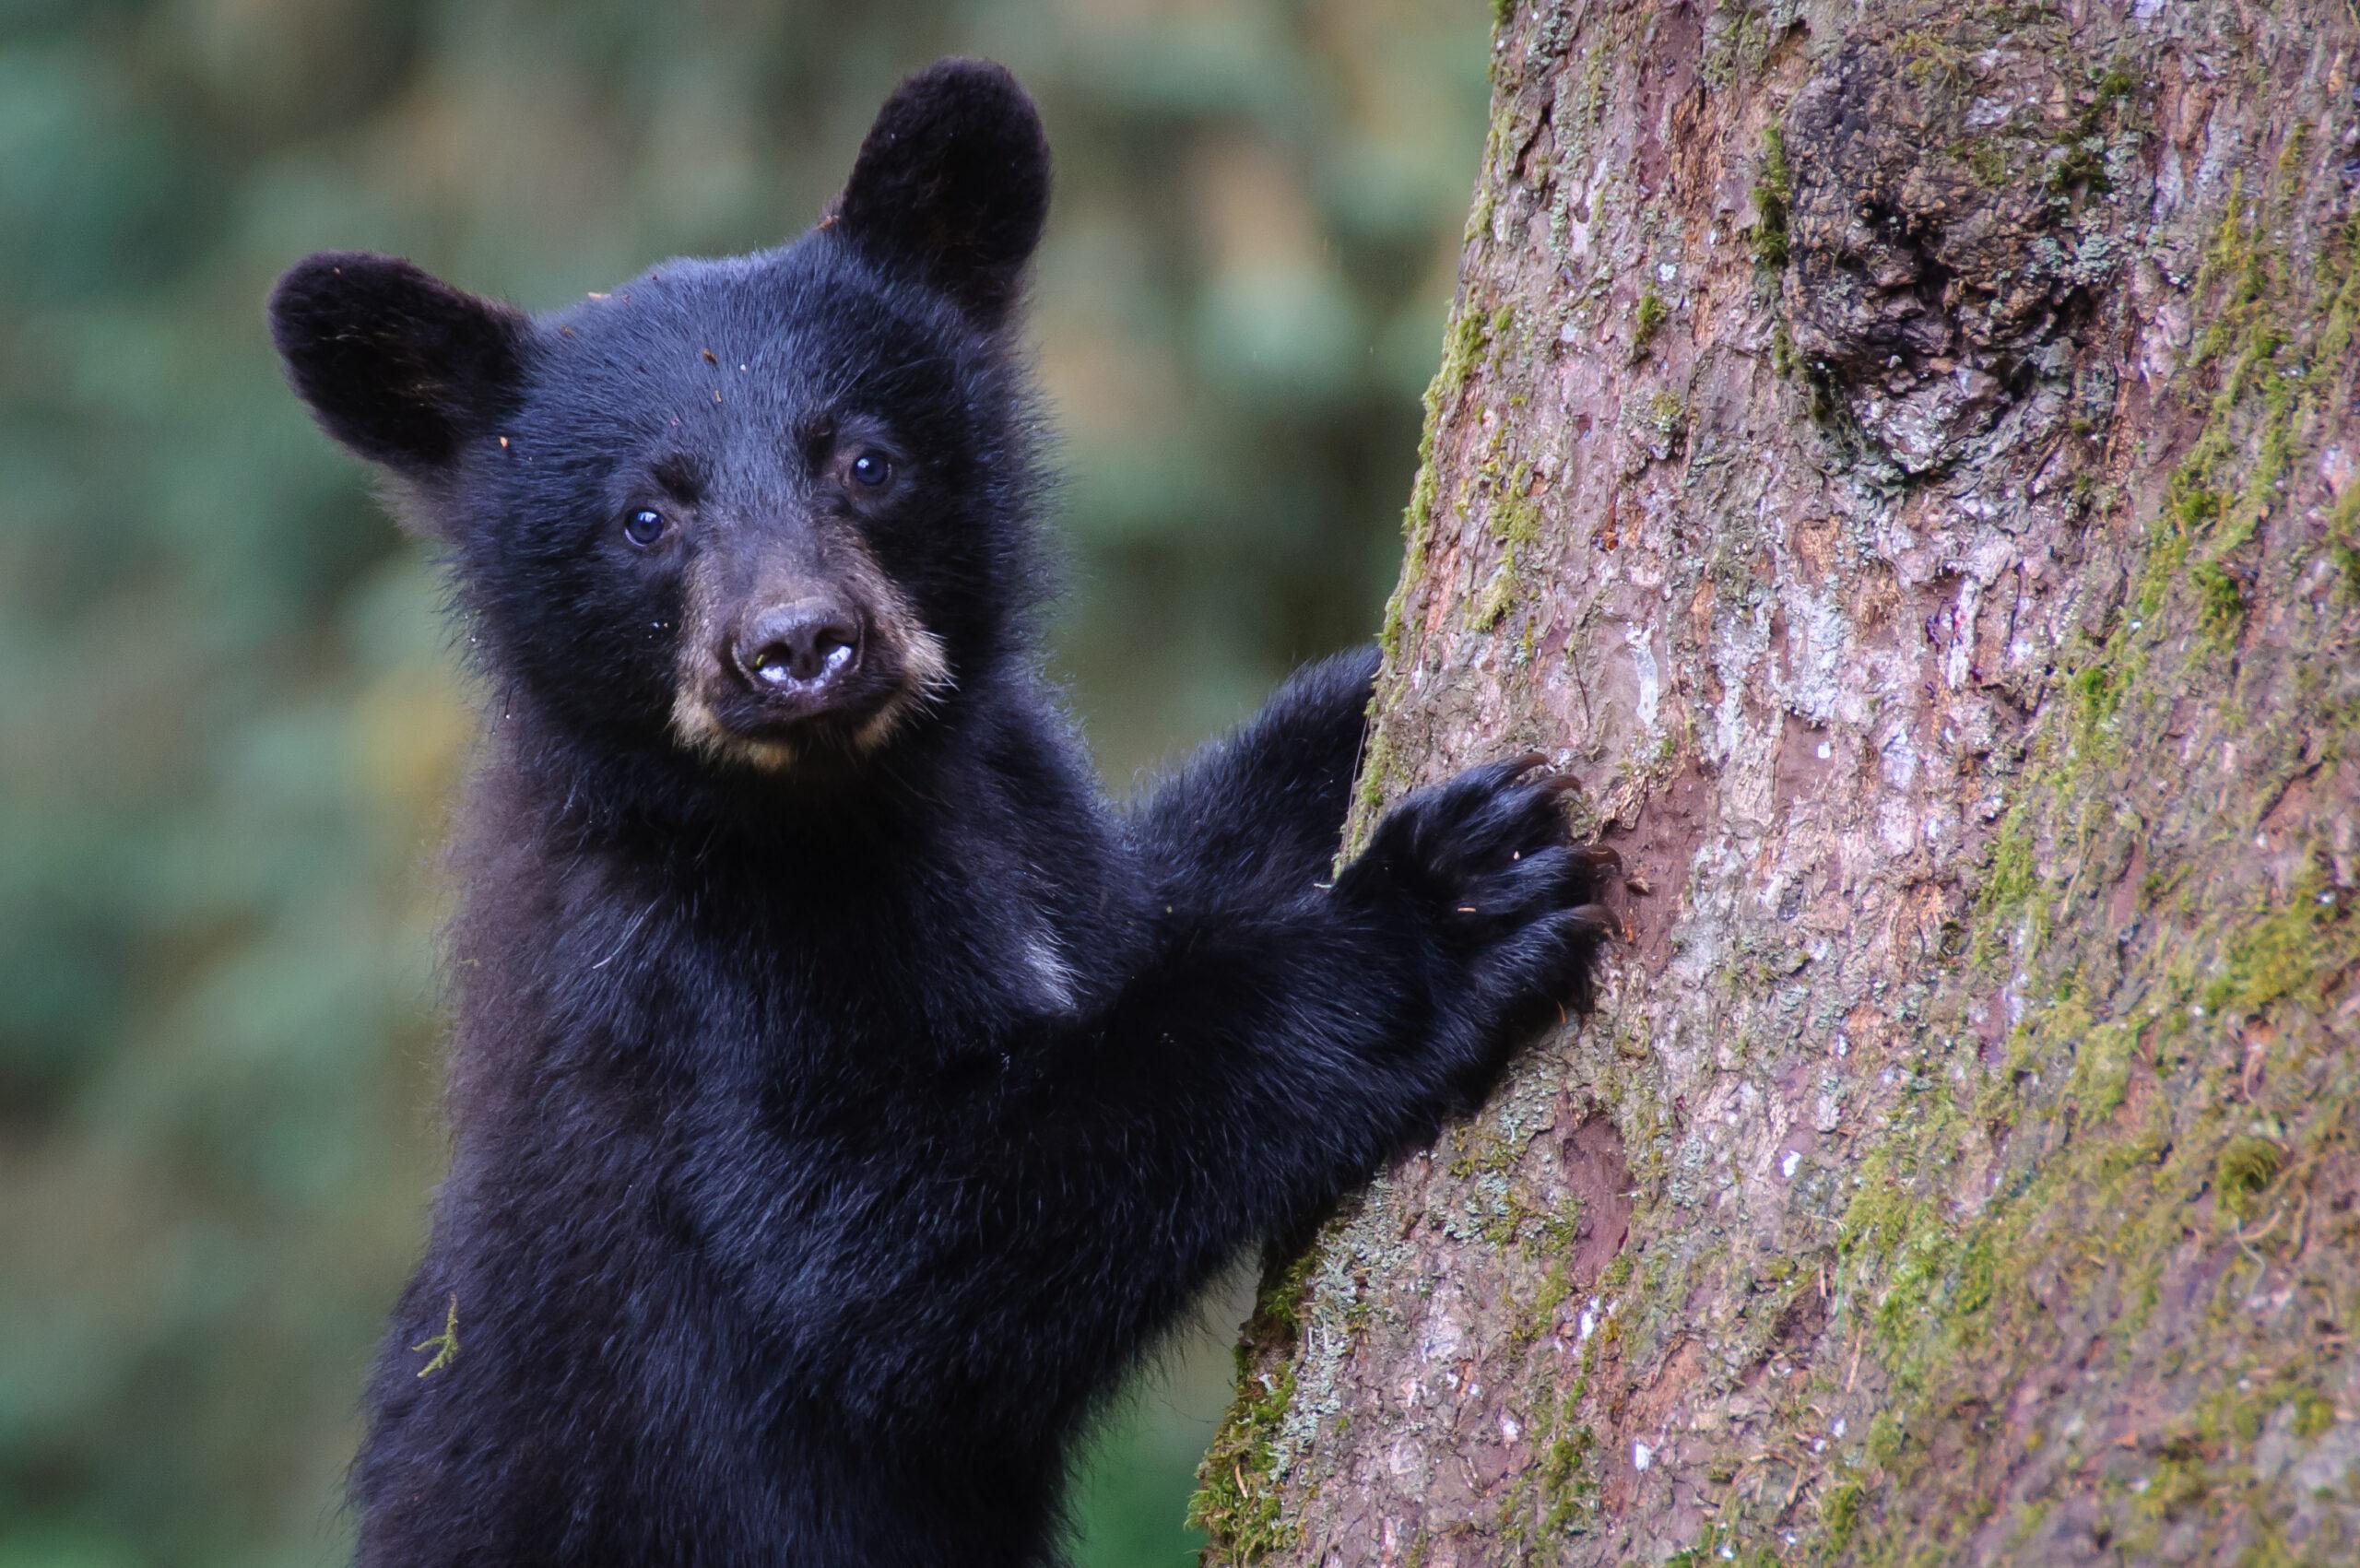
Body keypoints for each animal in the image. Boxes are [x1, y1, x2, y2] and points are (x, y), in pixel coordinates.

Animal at [269, 57, 1613, 1568]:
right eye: (644, 518)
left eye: (865, 460)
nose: (800, 647)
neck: (862, 804)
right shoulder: (690, 988)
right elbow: (895, 1249)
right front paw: (1445, 903)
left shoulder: (1032, 825)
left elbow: (1164, 893)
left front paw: (1358, 700)